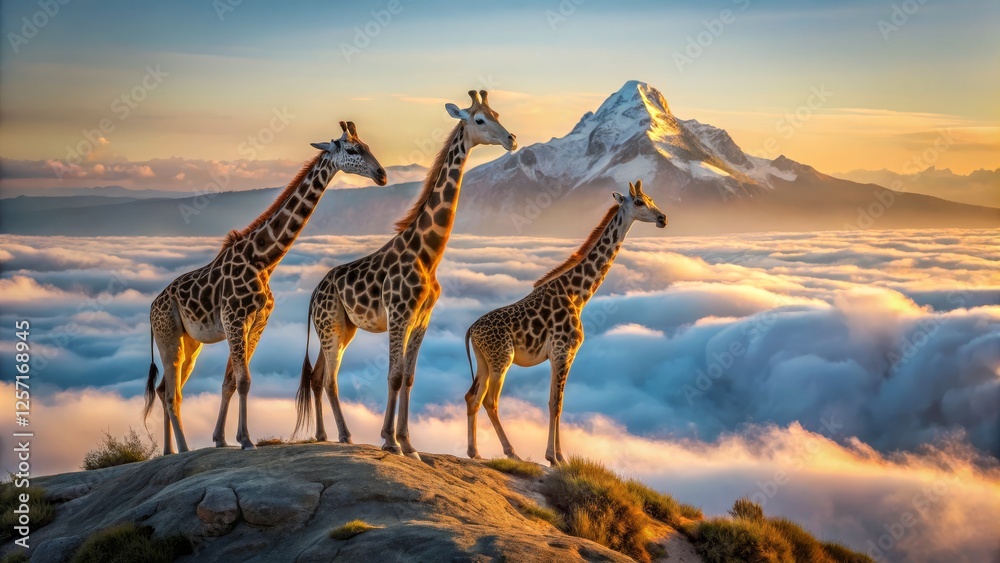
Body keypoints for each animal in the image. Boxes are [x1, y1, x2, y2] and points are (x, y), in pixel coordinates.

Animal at [142, 121, 387, 454]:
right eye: (352, 149)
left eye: (368, 146)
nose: (382, 174)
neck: (263, 260)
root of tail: (151, 309)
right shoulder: (235, 320)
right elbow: (244, 381)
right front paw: (245, 440)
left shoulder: (256, 324)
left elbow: (231, 382)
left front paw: (221, 438)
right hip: (168, 336)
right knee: (171, 393)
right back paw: (182, 449)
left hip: (189, 341)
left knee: (164, 387)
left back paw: (168, 451)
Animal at [293, 90, 516, 459]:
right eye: (480, 119)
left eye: (497, 112)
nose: (511, 139)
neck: (428, 254)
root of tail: (313, 293)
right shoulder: (399, 315)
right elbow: (394, 376)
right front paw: (389, 440)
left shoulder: (422, 318)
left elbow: (409, 378)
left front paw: (409, 444)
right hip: (331, 326)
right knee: (329, 378)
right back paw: (344, 435)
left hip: (343, 327)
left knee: (317, 376)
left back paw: (325, 435)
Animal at [463, 180, 666, 466]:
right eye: (638, 202)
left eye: (651, 198)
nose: (662, 218)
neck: (578, 296)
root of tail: (471, 330)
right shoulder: (563, 352)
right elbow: (556, 403)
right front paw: (555, 457)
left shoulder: (559, 355)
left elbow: (554, 402)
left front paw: (558, 456)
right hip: (501, 359)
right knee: (490, 400)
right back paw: (511, 452)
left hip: (484, 360)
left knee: (473, 397)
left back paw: (475, 452)